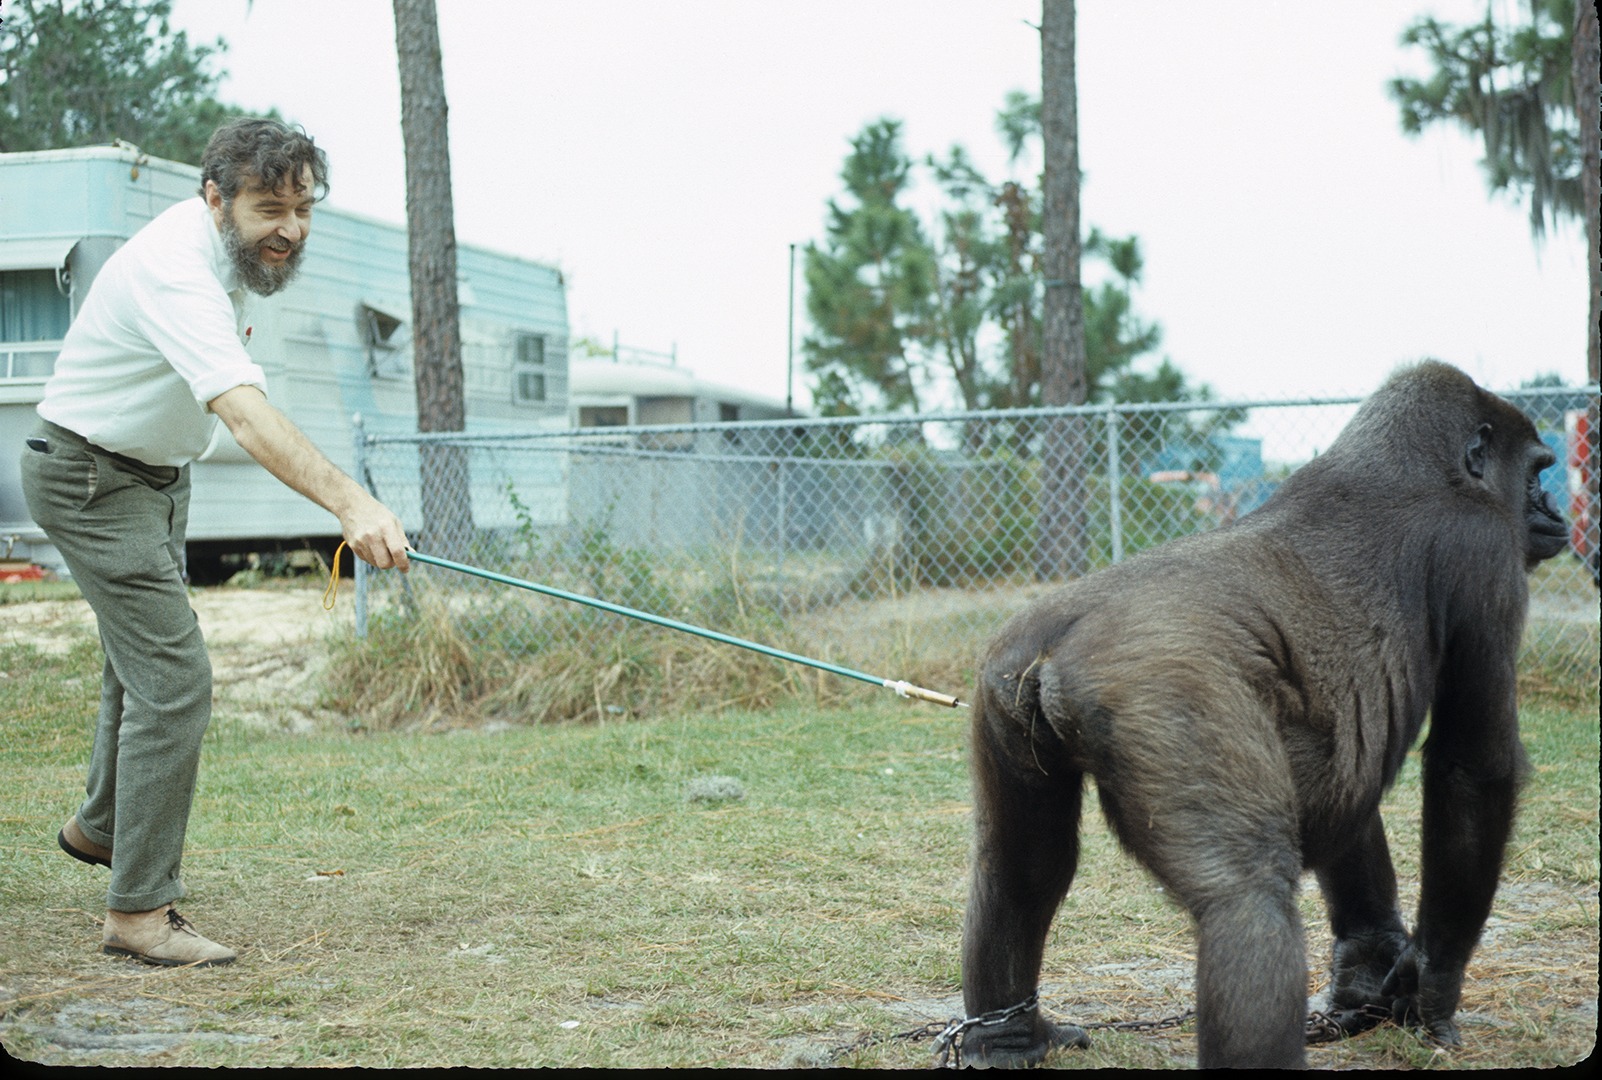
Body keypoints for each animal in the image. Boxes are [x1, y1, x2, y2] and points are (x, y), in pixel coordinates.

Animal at [955, 361, 1569, 1068]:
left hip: (1003, 678)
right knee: (1244, 898)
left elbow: (1344, 791)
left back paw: (1008, 1040)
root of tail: (1058, 642)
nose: (1554, 511)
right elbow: (1471, 768)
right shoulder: (1485, 554)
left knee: (1018, 868)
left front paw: (1367, 979)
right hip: (1164, 692)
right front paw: (1432, 987)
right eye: (1537, 473)